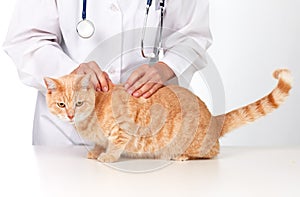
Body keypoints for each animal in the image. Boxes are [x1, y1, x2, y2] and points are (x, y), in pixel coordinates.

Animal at [44, 68, 292, 162]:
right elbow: (99, 143)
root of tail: (214, 119)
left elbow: (115, 145)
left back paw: (181, 156)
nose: (70, 115)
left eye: (78, 103)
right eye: (61, 104)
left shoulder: (122, 128)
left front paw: (108, 156)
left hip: (197, 144)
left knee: (213, 152)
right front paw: (95, 152)